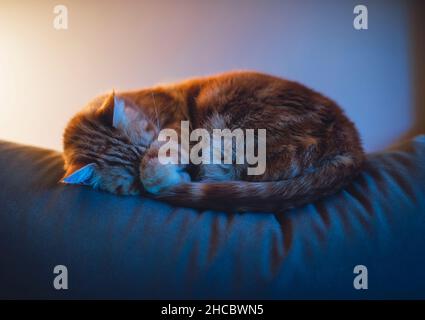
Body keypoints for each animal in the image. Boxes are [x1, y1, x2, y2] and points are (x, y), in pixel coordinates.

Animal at [61, 72, 362, 212]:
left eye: (150, 140)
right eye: (130, 181)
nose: (185, 169)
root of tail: (353, 144)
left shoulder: (176, 130)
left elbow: (154, 168)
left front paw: (168, 176)